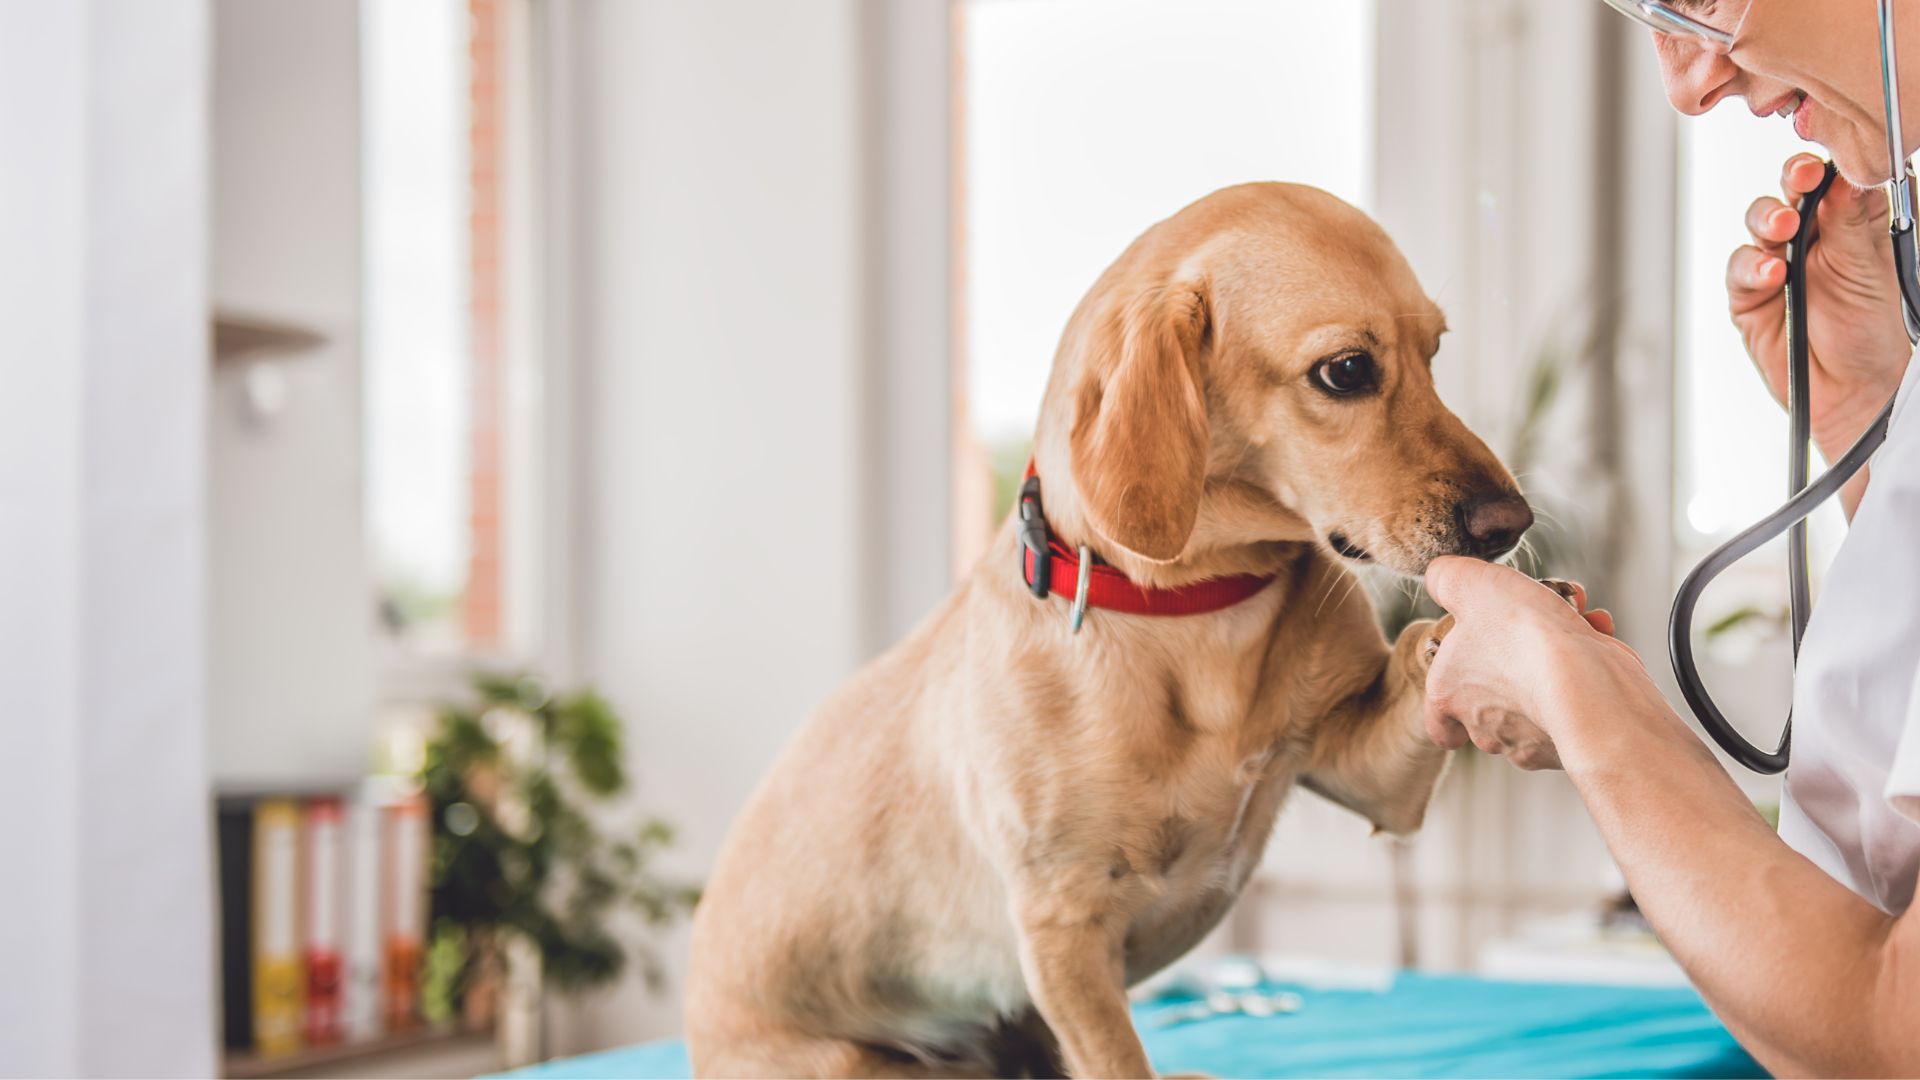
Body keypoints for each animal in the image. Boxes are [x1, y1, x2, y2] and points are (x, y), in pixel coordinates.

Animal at [683, 180, 1536, 1068]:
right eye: (1346, 370)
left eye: (1434, 353)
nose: (1513, 523)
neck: (1200, 611)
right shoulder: (1065, 928)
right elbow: (1117, 1058)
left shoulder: (1370, 778)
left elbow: (1413, 660)